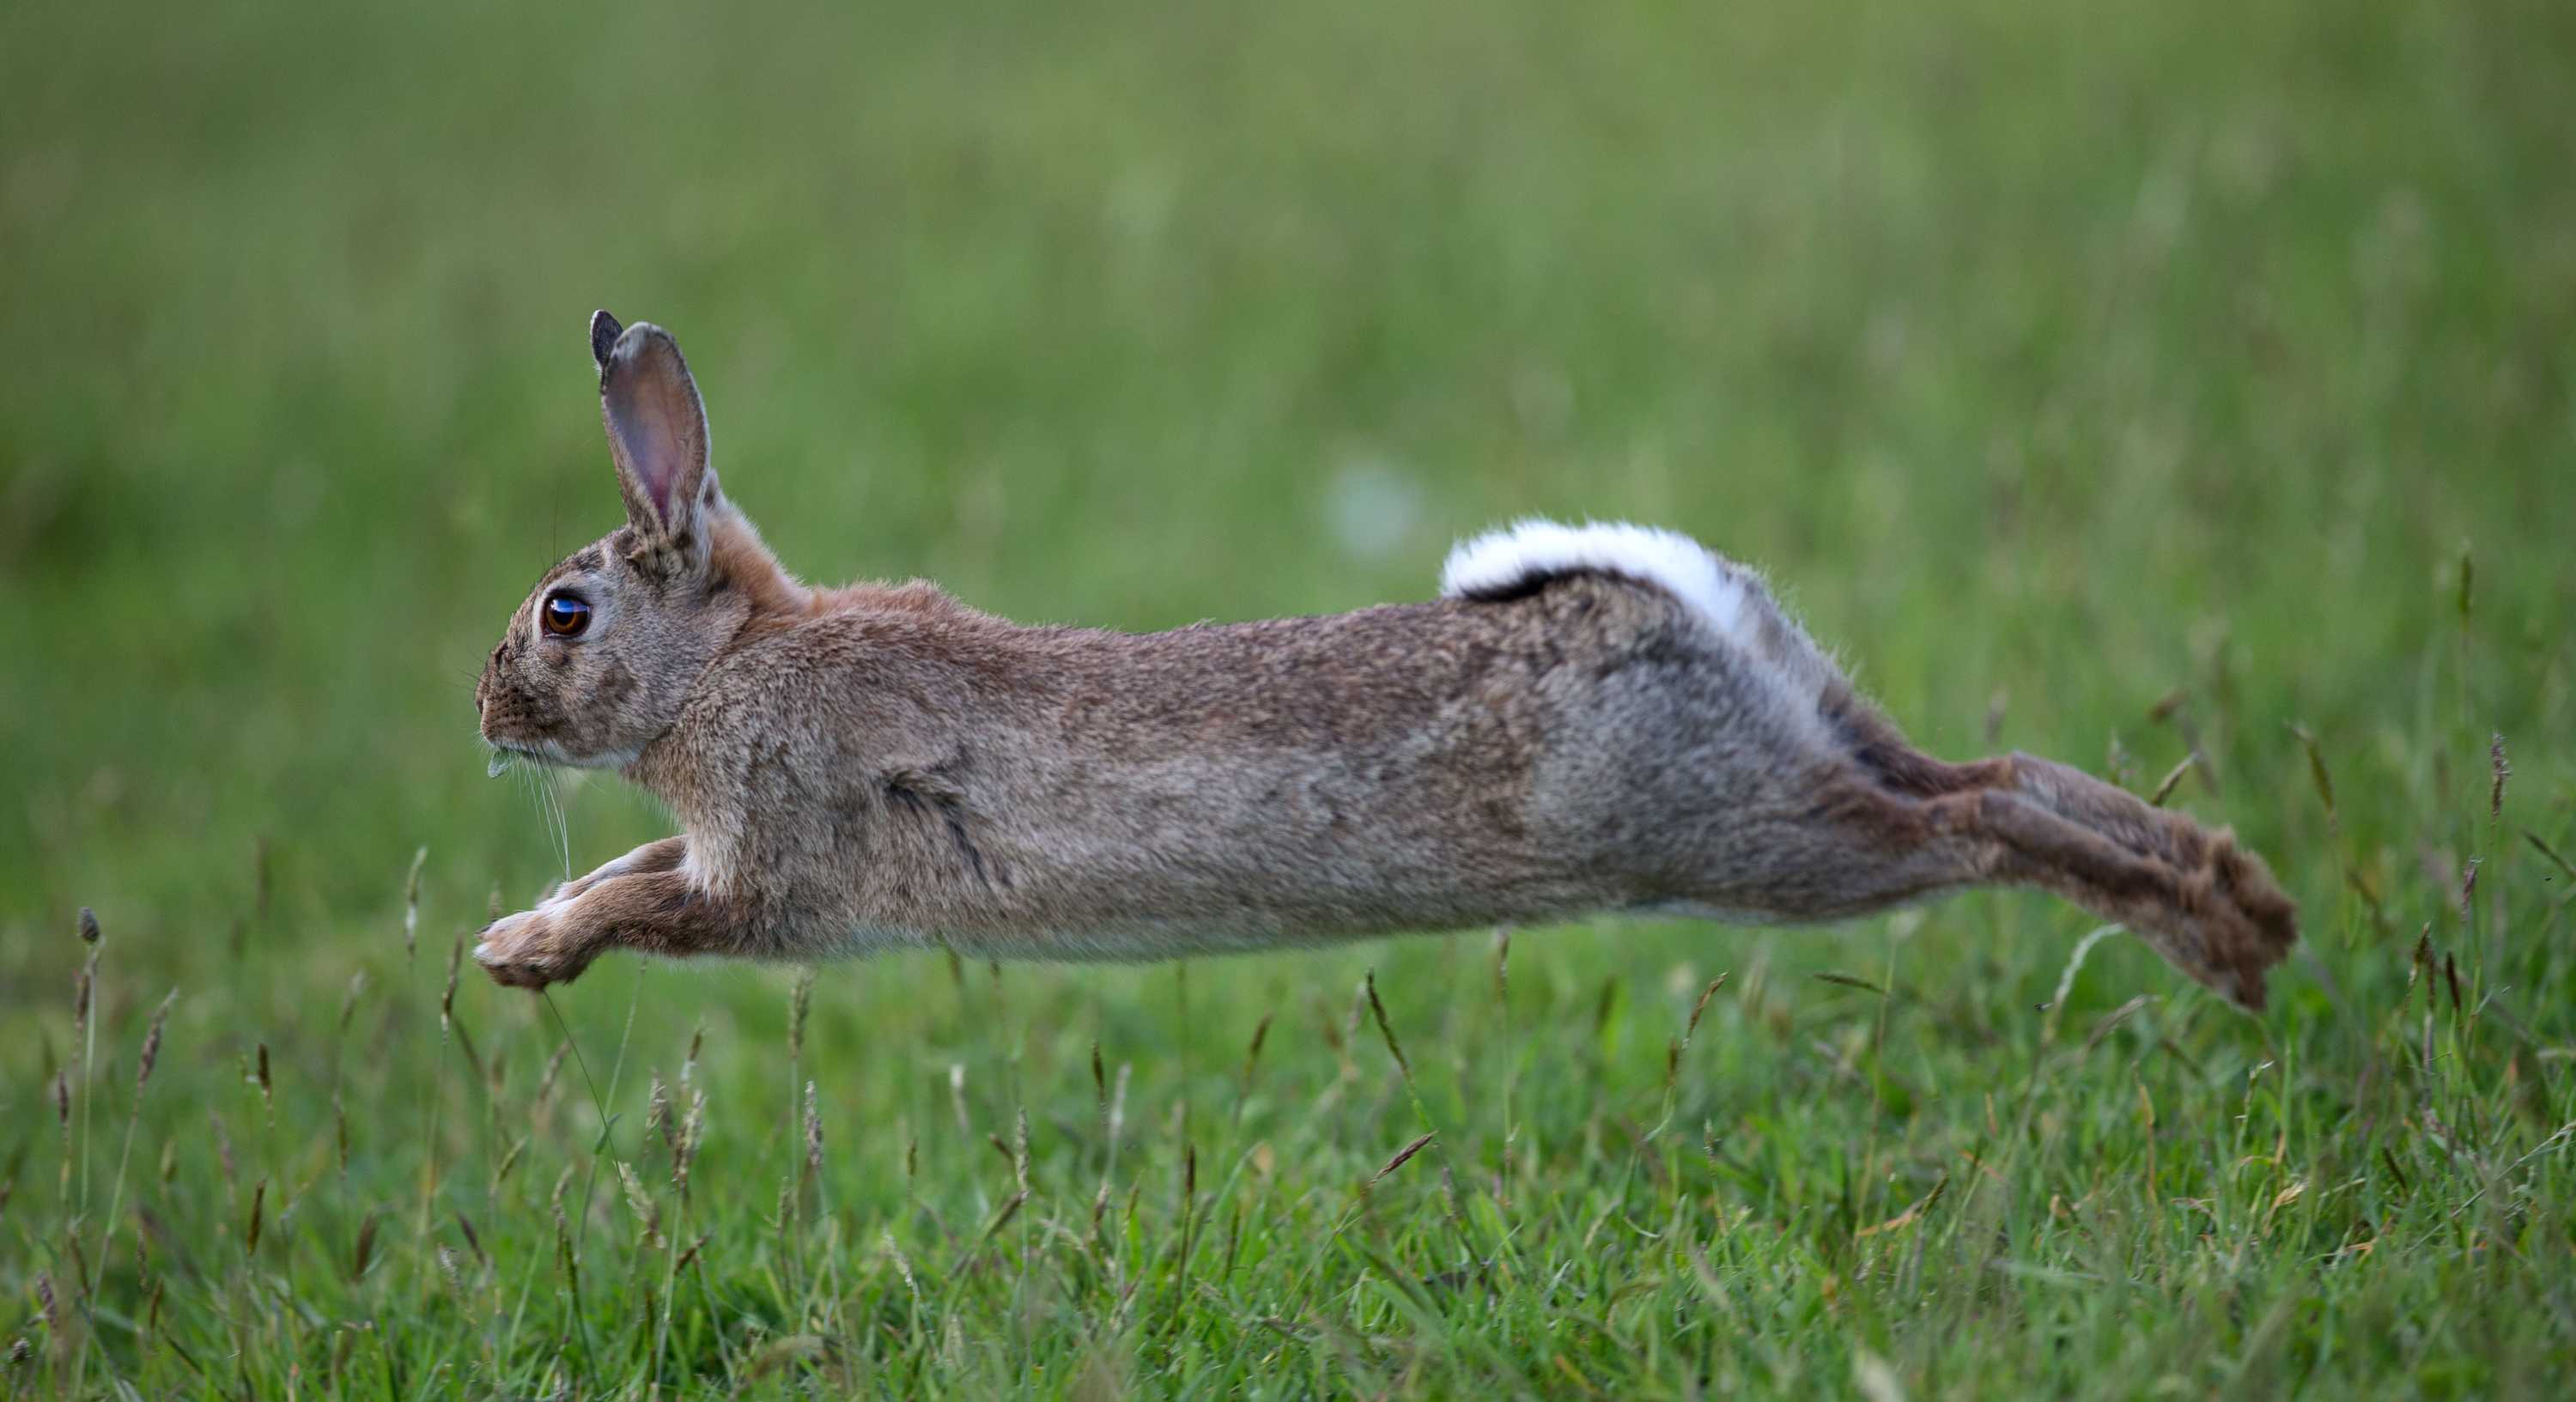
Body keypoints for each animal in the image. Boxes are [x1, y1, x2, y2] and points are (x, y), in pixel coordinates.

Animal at [472, 311, 2299, 1009]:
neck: (725, 658)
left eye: (564, 614)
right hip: (1804, 747)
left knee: (1968, 828)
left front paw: (522, 954)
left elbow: (650, 899)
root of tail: (1681, 602)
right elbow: (630, 865)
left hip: (1741, 836)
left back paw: (2211, 937)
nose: (483, 710)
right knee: (1997, 775)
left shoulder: (780, 869)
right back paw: (2246, 905)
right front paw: (508, 941)